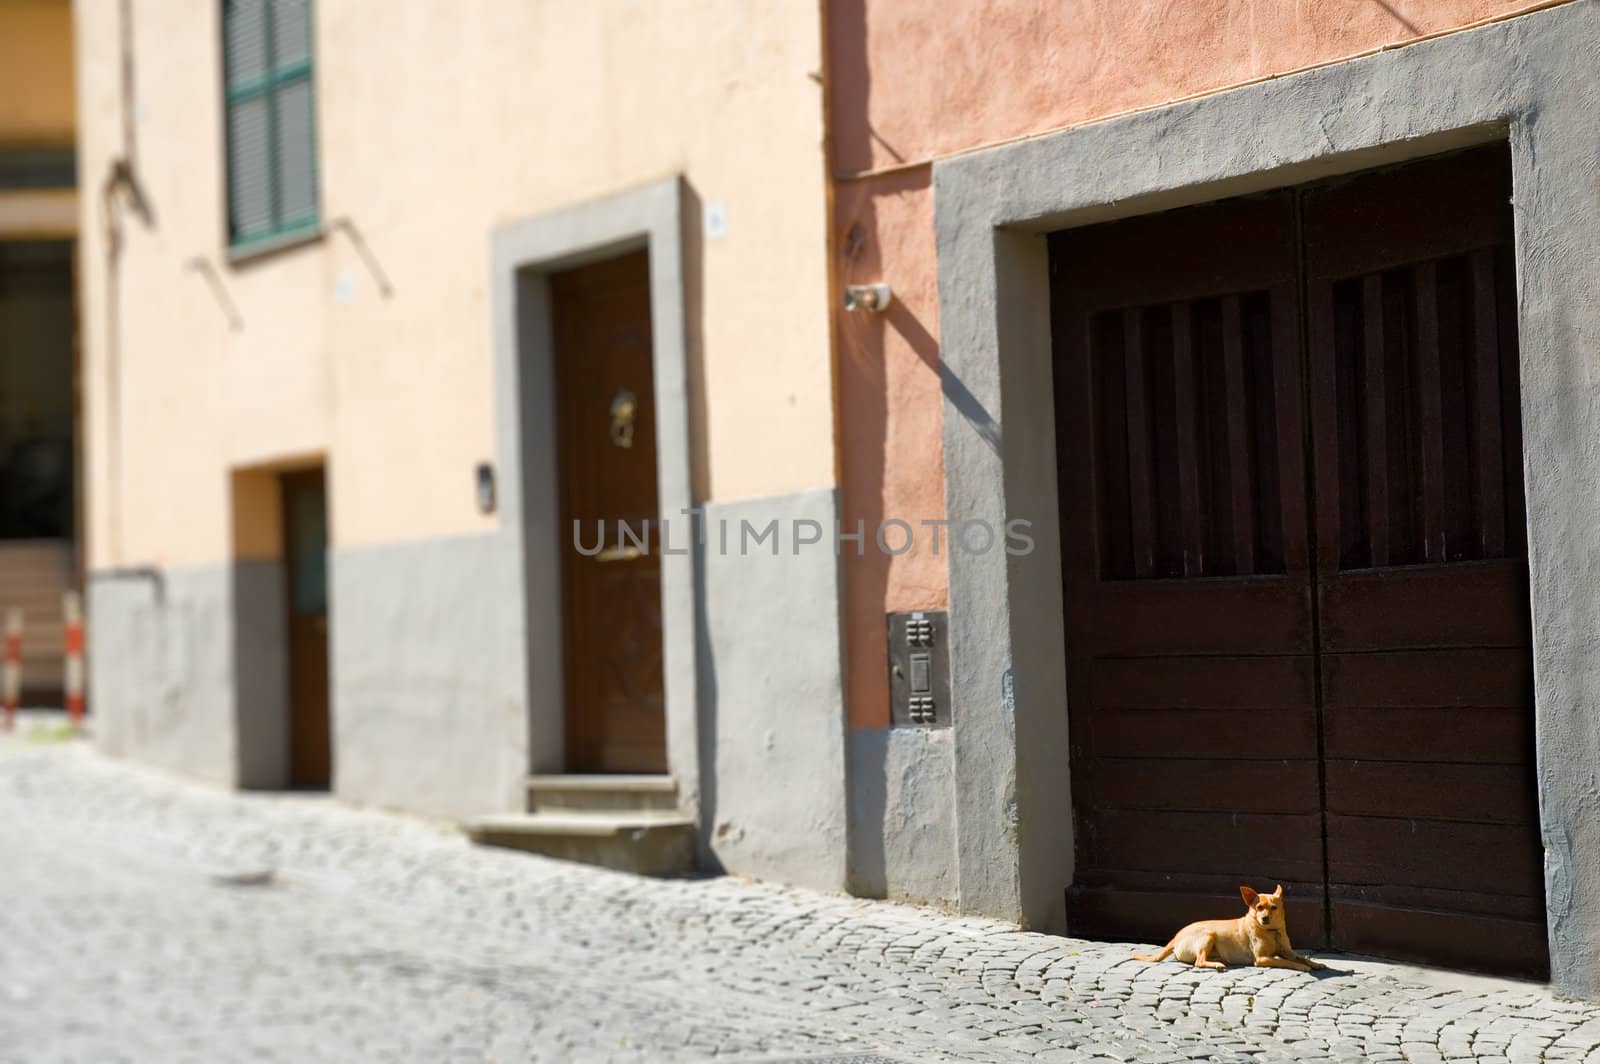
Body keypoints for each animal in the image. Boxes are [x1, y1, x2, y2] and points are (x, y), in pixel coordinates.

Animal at [1139, 876, 1324, 972]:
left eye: (1273, 907)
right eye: (1259, 908)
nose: (1264, 918)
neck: (1271, 931)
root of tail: (1175, 938)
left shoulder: (1288, 952)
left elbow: (1301, 957)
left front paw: (1316, 963)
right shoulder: (1261, 959)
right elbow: (1285, 962)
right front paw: (1301, 967)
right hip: (1208, 935)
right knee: (1199, 961)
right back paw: (1217, 964)